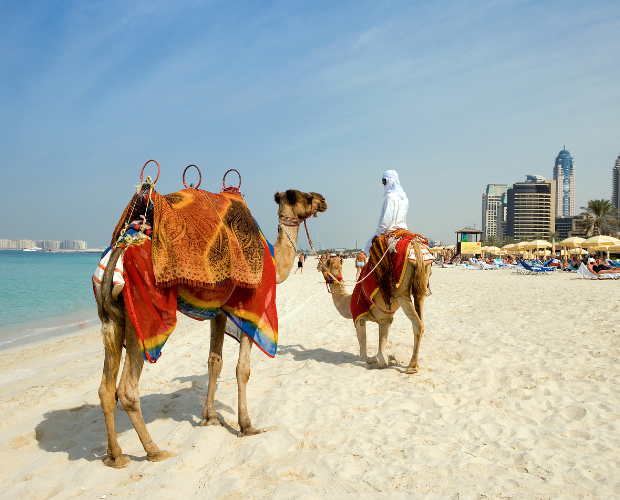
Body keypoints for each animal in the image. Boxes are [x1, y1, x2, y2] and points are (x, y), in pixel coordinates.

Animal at [94, 188, 326, 468]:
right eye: (305, 197)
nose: (323, 200)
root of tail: (119, 251)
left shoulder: (220, 310)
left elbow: (214, 361)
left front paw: (209, 418)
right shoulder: (249, 308)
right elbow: (242, 369)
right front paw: (247, 425)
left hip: (111, 317)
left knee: (105, 389)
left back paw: (115, 456)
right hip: (141, 314)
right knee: (127, 389)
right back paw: (154, 451)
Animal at [320, 241, 432, 376]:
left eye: (323, 263)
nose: (317, 265)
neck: (347, 300)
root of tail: (415, 245)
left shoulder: (359, 316)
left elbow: (364, 355)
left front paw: (373, 359)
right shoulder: (385, 320)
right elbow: (382, 347)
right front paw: (388, 357)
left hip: (401, 293)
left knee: (417, 324)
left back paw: (411, 367)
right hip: (421, 285)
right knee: (421, 317)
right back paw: (416, 365)